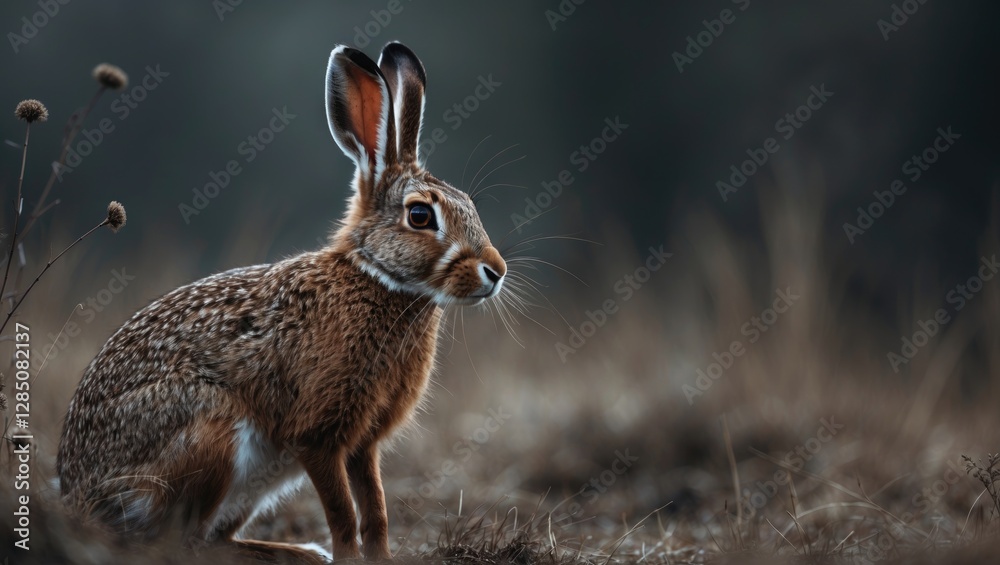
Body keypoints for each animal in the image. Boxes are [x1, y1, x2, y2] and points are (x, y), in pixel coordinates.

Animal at [56, 41, 507, 562]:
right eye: (419, 215)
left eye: (469, 205)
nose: (496, 271)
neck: (378, 279)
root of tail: (78, 496)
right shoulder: (316, 437)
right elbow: (344, 512)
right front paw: (347, 558)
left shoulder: (363, 444)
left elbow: (375, 510)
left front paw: (378, 558)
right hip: (211, 434)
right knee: (178, 540)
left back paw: (298, 552)